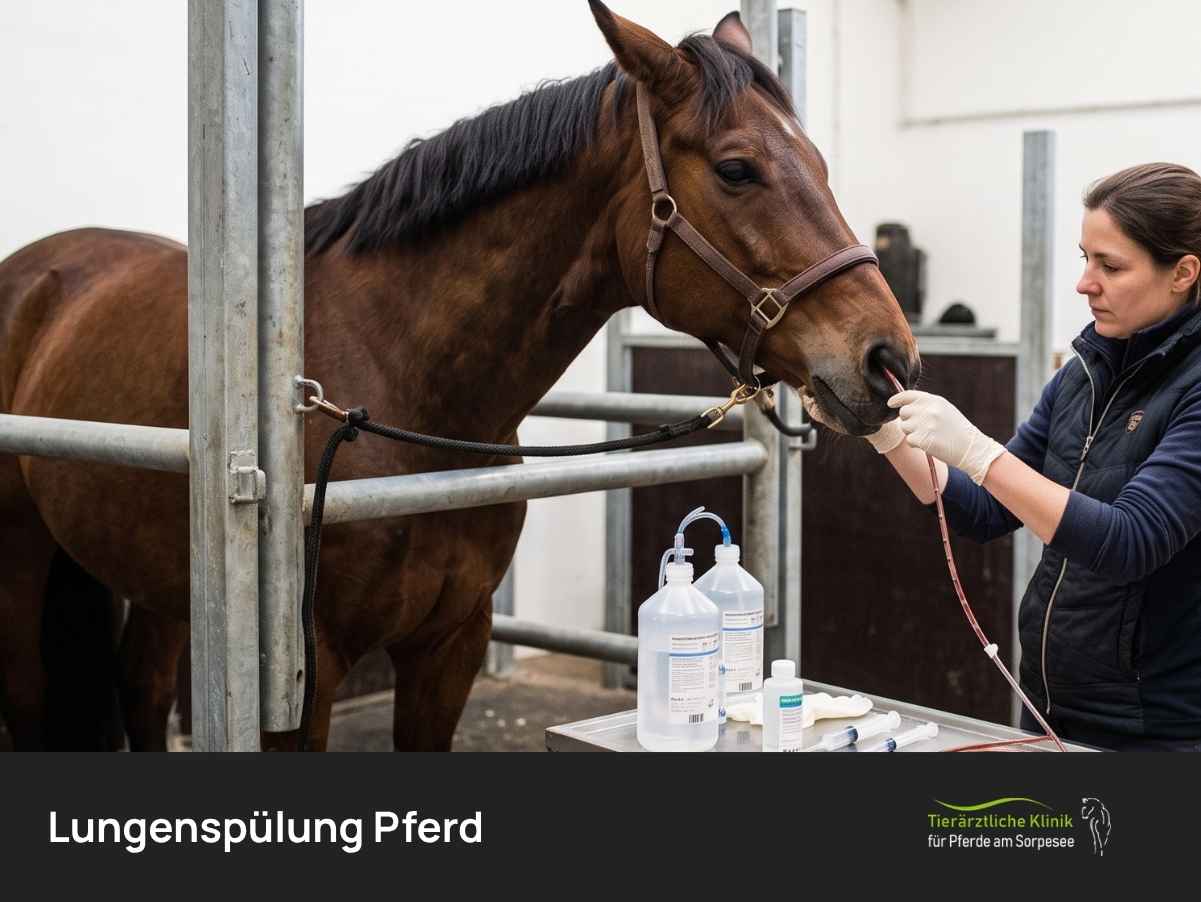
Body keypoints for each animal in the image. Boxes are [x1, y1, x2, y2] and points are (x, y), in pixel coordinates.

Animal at [0, 2, 918, 751]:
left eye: (820, 164)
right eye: (735, 169)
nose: (889, 361)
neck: (405, 386)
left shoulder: (450, 646)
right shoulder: (308, 677)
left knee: (143, 689)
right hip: (26, 555)